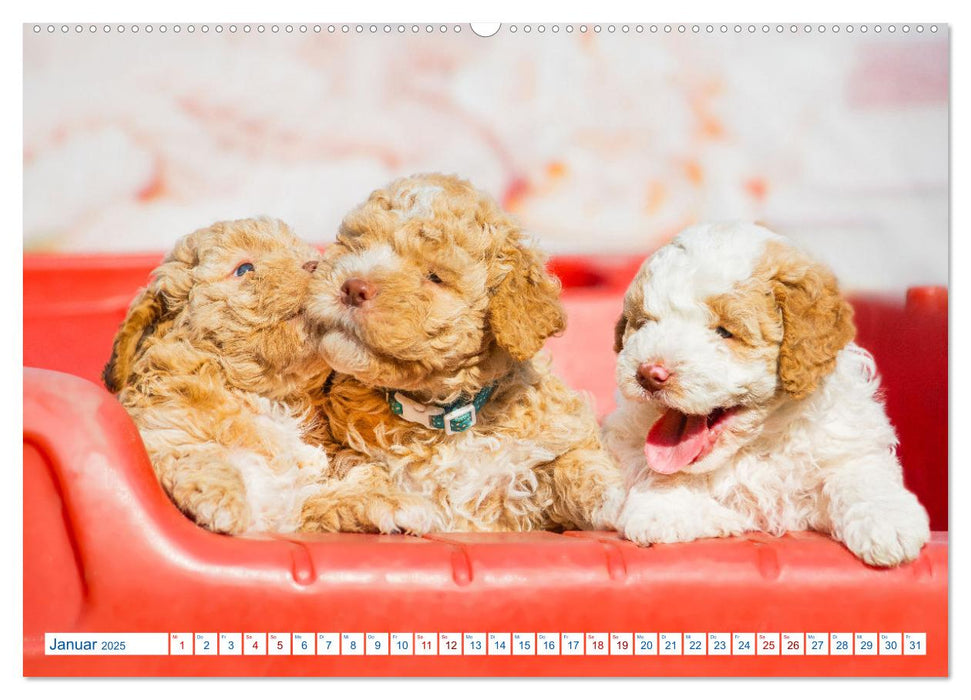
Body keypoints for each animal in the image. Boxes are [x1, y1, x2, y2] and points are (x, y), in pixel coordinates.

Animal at [104, 219, 334, 536]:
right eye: (244, 269)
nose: (316, 264)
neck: (265, 396)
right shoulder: (164, 436)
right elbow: (203, 455)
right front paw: (225, 500)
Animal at [604, 221, 932, 568]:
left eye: (725, 332)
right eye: (644, 323)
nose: (649, 373)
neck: (756, 444)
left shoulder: (844, 440)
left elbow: (859, 472)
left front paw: (888, 521)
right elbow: (657, 471)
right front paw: (666, 508)